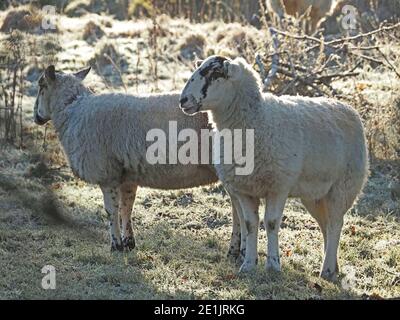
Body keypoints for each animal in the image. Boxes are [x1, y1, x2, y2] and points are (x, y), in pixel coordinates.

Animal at [34, 65, 245, 258]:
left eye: (41, 86)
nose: (36, 117)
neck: (73, 109)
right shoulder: (127, 175)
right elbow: (126, 208)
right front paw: (128, 243)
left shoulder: (107, 174)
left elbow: (111, 211)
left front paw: (116, 246)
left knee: (238, 211)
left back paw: (235, 250)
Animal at [180, 56, 368, 282]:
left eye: (214, 74)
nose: (183, 100)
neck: (256, 119)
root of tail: (350, 110)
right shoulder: (244, 189)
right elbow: (249, 224)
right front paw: (248, 264)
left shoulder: (278, 186)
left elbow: (270, 223)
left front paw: (273, 265)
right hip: (314, 195)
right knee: (326, 225)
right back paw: (333, 267)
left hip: (343, 187)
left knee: (335, 224)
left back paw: (327, 270)